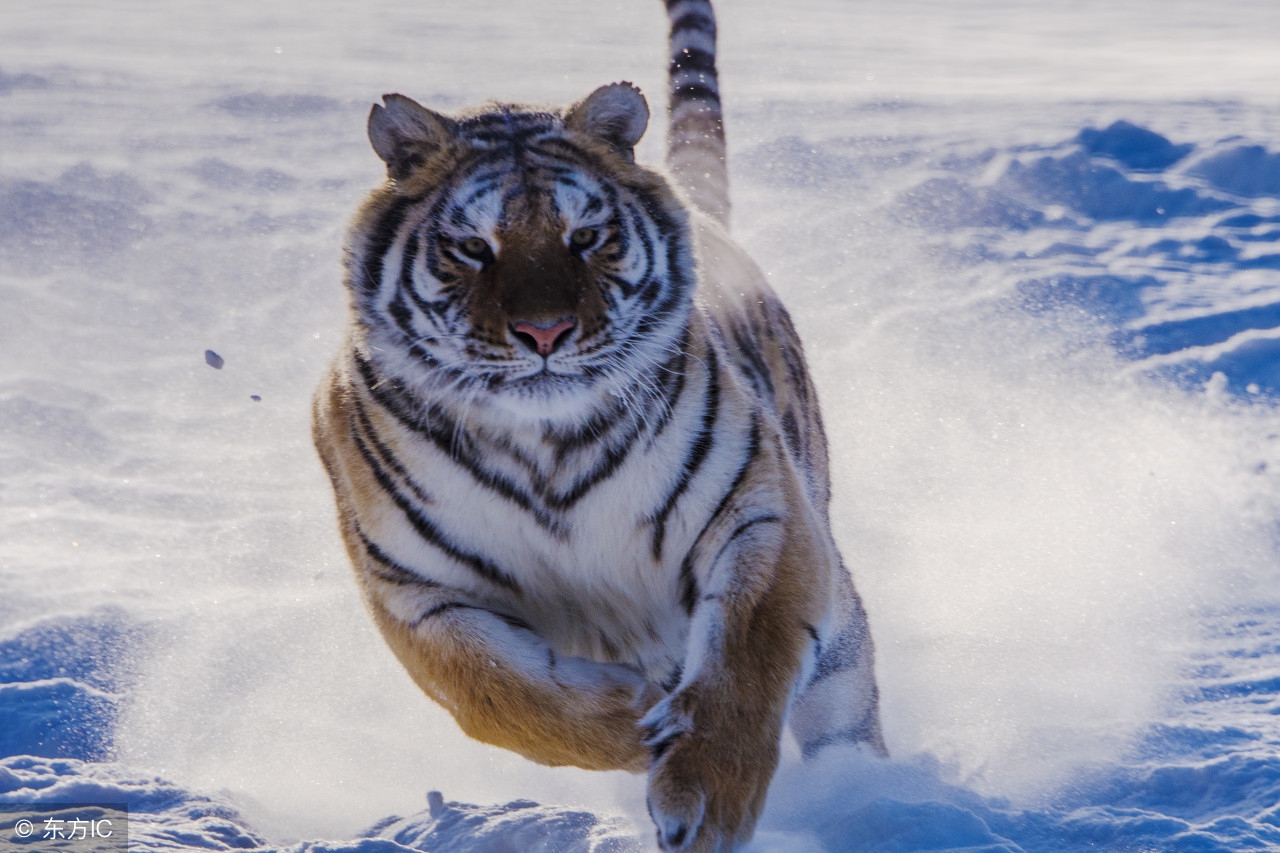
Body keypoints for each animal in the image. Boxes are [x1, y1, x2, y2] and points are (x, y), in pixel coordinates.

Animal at [313, 0, 885, 845]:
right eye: (473, 247)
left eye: (584, 236)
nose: (545, 332)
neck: (546, 444)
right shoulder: (416, 588)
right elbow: (498, 696)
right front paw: (636, 717)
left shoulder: (760, 511)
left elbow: (746, 657)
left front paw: (705, 800)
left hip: (836, 616)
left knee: (844, 709)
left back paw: (881, 801)